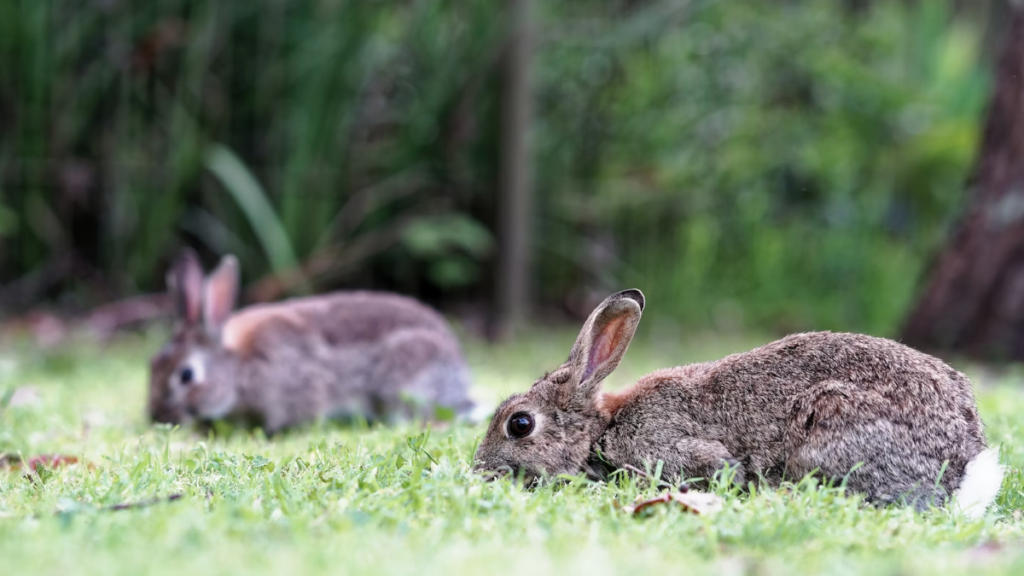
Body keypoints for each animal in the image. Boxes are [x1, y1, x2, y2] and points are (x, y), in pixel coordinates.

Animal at [475, 286, 1003, 516]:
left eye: (519, 424)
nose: (480, 470)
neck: (602, 429)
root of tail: (964, 467)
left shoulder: (676, 450)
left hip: (829, 422)